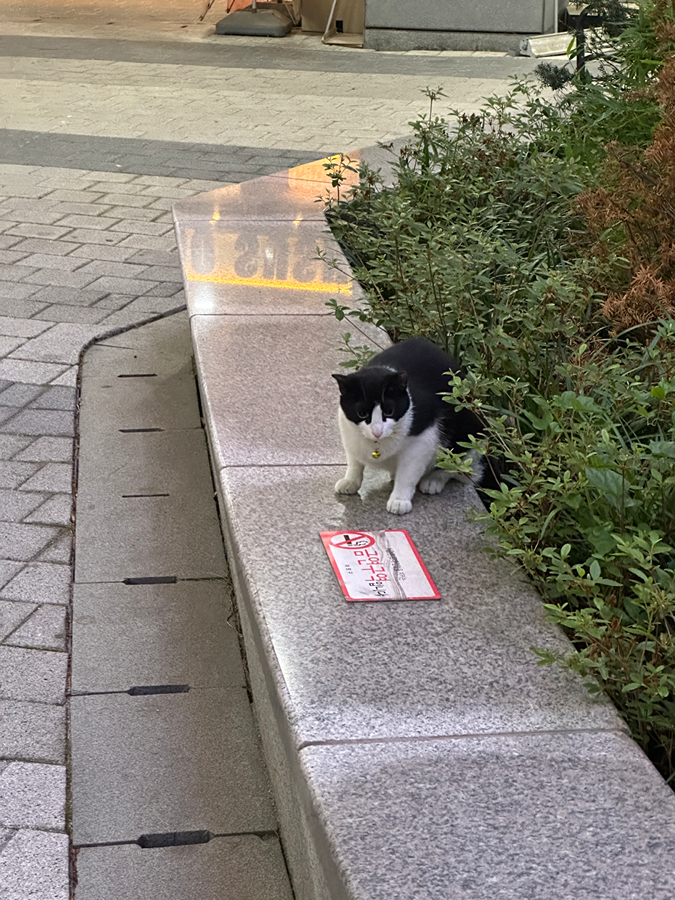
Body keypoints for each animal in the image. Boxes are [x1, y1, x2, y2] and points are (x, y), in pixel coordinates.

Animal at [334, 336, 488, 512]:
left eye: (389, 411)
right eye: (362, 413)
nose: (377, 431)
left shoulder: (423, 441)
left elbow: (407, 474)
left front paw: (399, 500)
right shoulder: (348, 433)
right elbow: (354, 462)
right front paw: (350, 481)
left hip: (468, 432)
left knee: (456, 465)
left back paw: (433, 480)